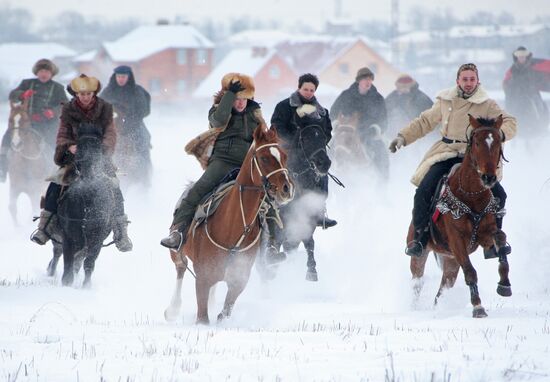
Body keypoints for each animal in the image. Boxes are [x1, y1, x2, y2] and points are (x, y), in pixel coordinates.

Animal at [55, 122, 117, 286]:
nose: (87, 168)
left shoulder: (96, 237)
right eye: (79, 146)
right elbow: (68, 263)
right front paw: (67, 283)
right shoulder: (68, 236)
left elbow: (88, 263)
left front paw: (86, 286)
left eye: (97, 147)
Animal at [164, 126, 294, 326]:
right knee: (180, 268)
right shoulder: (202, 278)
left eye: (284, 156)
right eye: (264, 158)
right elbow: (202, 317)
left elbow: (225, 312)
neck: (233, 228)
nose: (287, 189)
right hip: (177, 252)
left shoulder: (238, 280)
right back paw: (173, 309)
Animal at [258, 122, 332, 280]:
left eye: (324, 137)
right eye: (305, 139)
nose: (324, 163)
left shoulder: (308, 219)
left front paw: (311, 272)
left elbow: (309, 242)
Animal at [410, 115, 512, 318]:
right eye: (477, 142)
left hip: (450, 260)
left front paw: (504, 284)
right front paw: (478, 307)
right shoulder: (457, 240)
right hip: (422, 252)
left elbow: (500, 238)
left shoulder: (486, 234)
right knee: (417, 280)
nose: (489, 177)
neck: (471, 196)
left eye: (498, 142)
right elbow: (470, 272)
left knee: (444, 286)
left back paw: (437, 307)